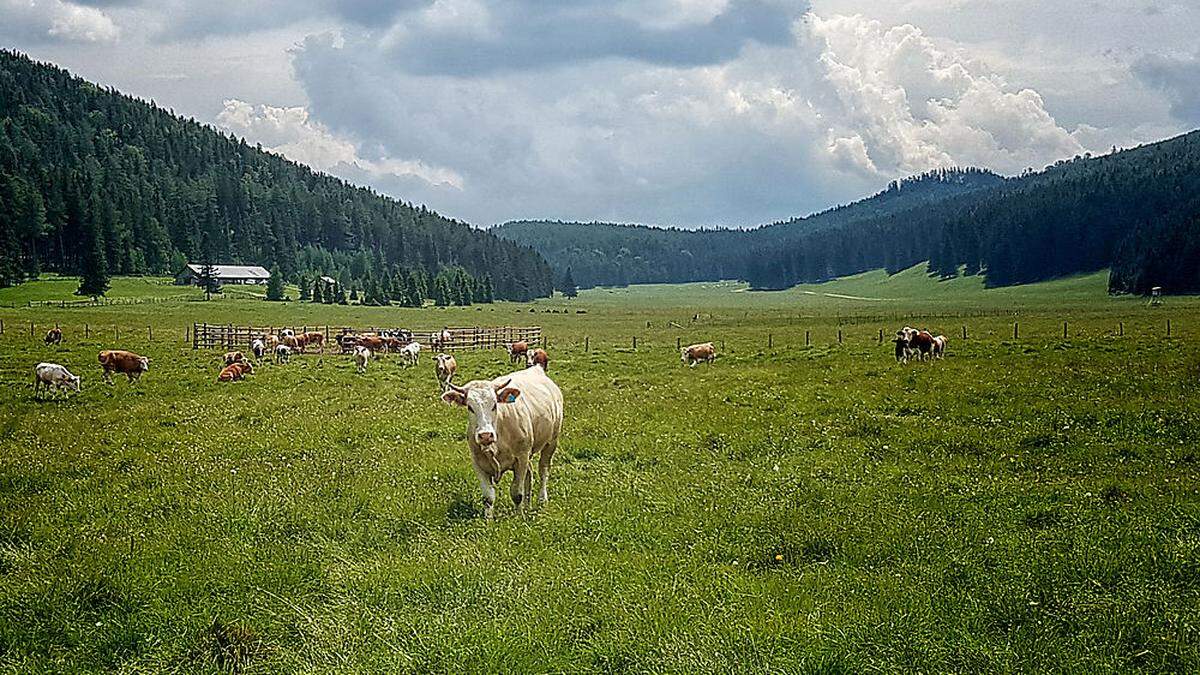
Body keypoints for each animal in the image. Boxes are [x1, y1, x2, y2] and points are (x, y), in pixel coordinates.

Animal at [444, 362, 564, 514]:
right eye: (470, 407)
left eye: (495, 404)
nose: (485, 435)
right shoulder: (478, 463)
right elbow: (488, 497)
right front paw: (488, 519)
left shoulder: (521, 458)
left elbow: (517, 493)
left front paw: (519, 517)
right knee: (530, 474)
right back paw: (527, 505)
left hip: (551, 442)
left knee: (543, 470)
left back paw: (542, 499)